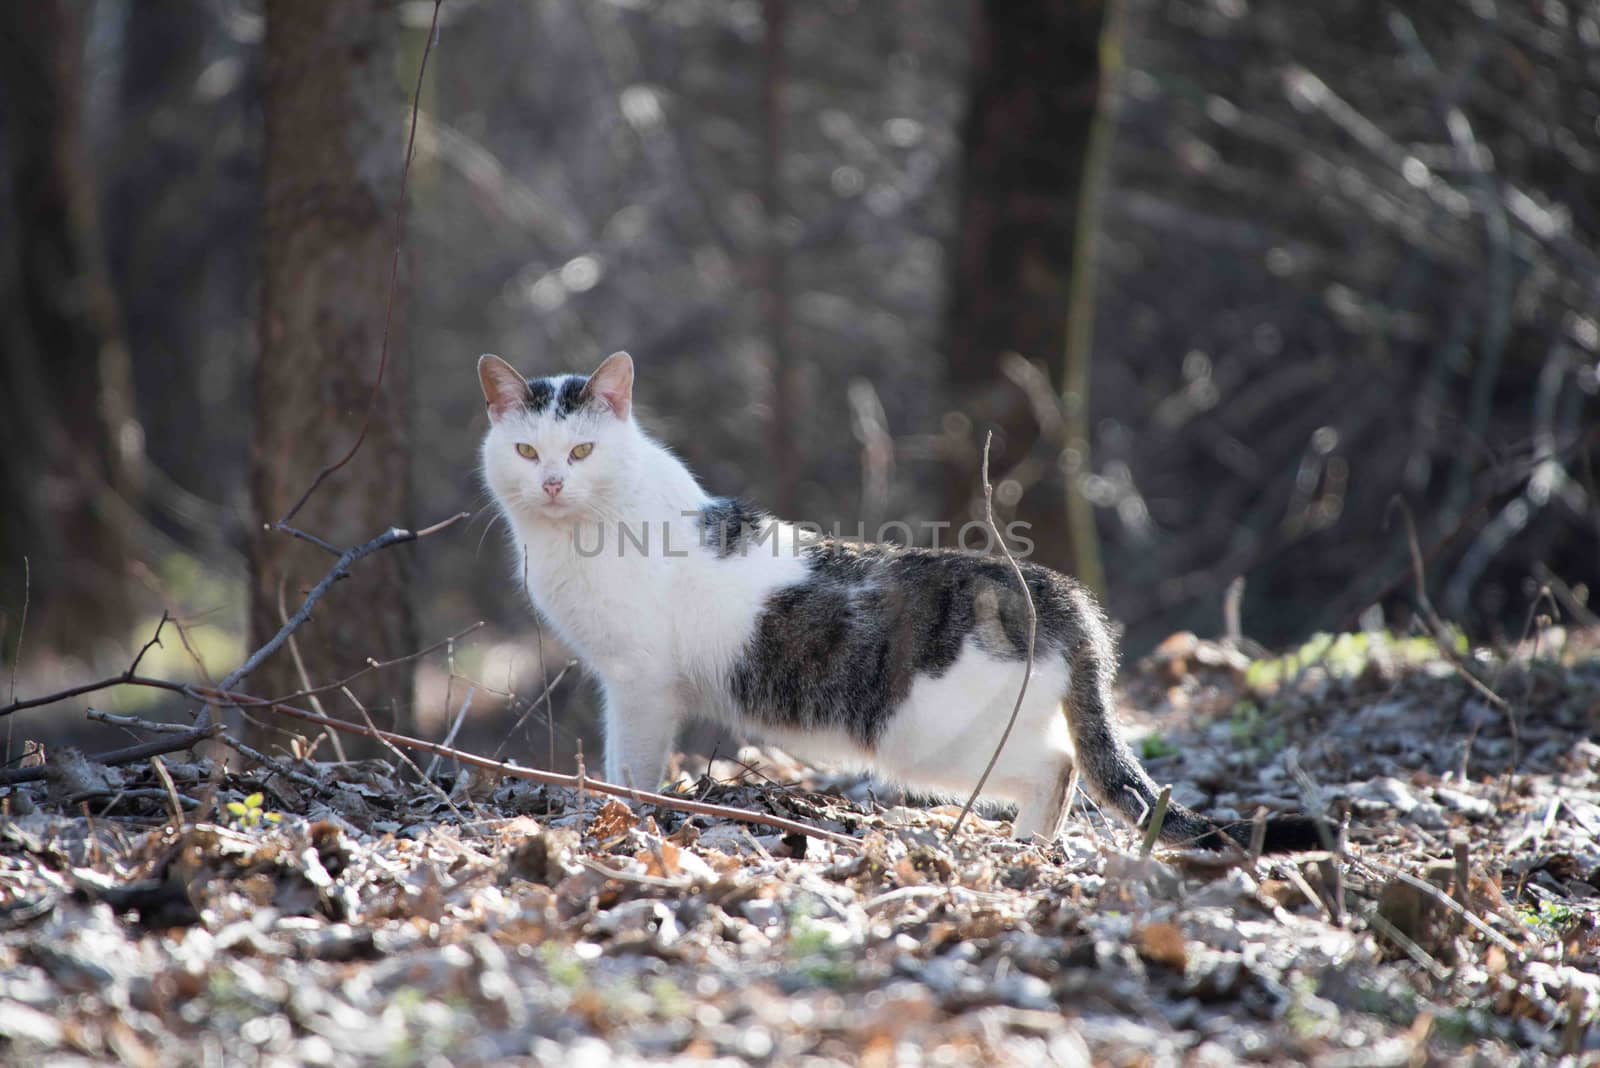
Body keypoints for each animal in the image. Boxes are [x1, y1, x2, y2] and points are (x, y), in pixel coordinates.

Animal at [476, 350, 1324, 850]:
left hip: (934, 740)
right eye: (527, 450)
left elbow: (629, 768)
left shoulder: (638, 684)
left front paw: (615, 821)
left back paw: (1023, 848)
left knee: (1056, 766)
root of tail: (1050, 588)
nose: (551, 482)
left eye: (582, 450)